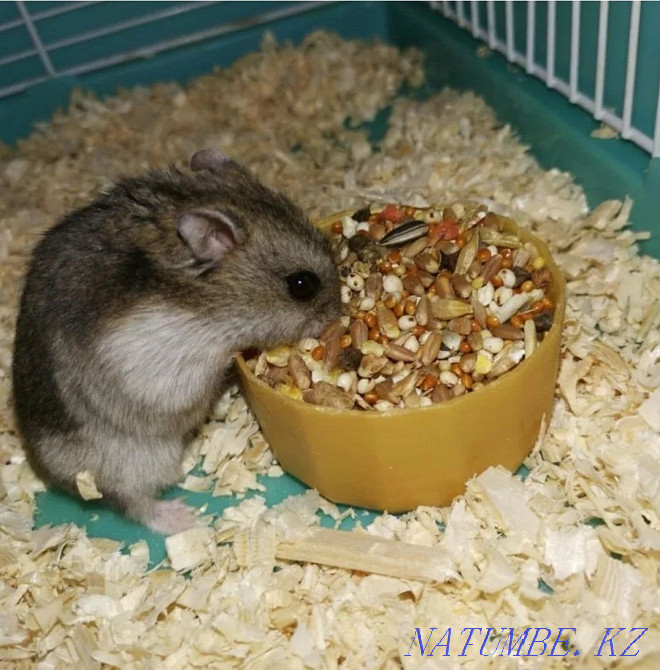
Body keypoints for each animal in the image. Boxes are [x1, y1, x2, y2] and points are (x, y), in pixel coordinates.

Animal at [12, 149, 342, 535]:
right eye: (302, 284)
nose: (339, 313)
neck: (209, 302)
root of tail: (48, 471)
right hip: (130, 462)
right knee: (133, 503)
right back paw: (185, 518)